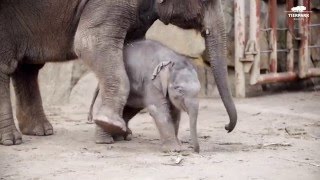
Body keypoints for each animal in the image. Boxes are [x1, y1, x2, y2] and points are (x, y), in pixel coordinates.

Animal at [0, 0, 236, 147]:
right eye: (206, 1)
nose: (226, 127)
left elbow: (128, 48)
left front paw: (119, 132)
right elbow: (89, 43)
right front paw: (109, 126)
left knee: (27, 68)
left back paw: (40, 131)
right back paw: (12, 140)